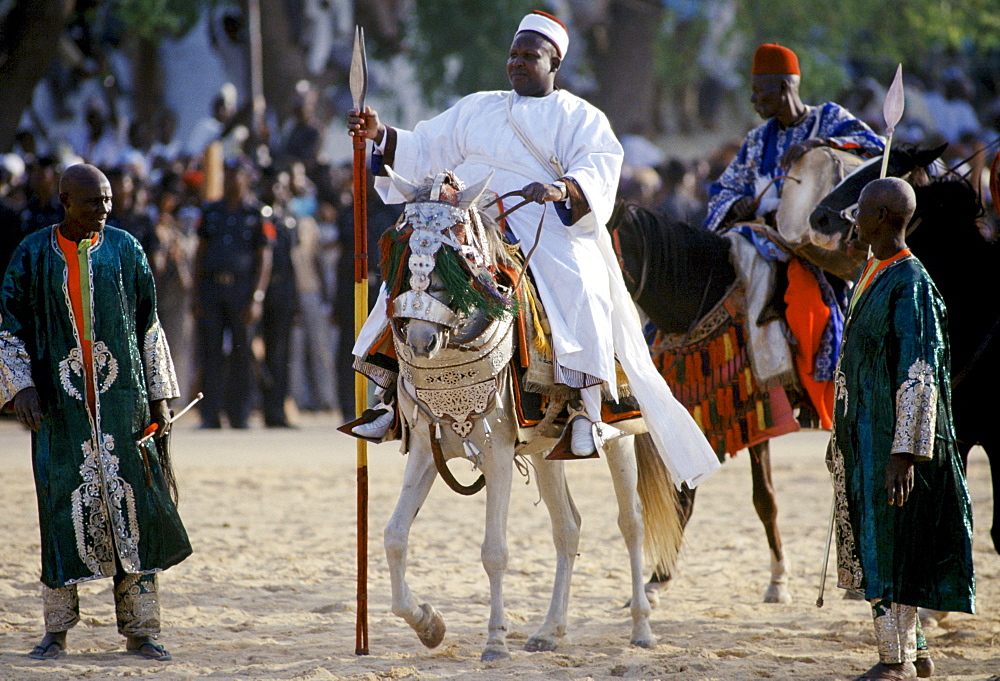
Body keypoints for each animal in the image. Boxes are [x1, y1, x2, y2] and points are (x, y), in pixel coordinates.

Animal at [370, 169, 688, 660]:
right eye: (404, 256)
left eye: (455, 257)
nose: (421, 339)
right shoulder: (427, 449)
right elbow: (394, 537)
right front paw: (427, 623)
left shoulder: (498, 453)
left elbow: (494, 551)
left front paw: (496, 641)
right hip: (543, 450)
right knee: (568, 528)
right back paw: (549, 630)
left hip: (620, 437)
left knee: (631, 523)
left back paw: (640, 629)